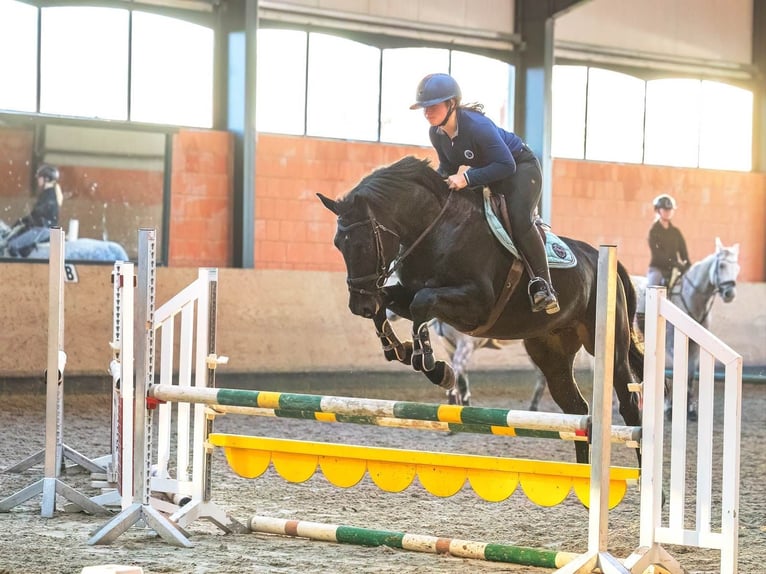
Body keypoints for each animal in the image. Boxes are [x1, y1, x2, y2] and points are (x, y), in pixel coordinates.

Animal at [320, 156, 648, 464]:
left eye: (362, 245)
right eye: (337, 244)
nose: (358, 306)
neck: (436, 229)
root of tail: (604, 259)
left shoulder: (477, 304)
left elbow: (422, 303)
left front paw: (433, 367)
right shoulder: (410, 295)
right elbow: (391, 304)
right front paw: (399, 349)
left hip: (608, 349)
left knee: (630, 408)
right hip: (551, 351)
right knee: (576, 409)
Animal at [636, 236, 744, 420]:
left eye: (737, 268)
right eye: (722, 265)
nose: (730, 294)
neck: (691, 298)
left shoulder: (694, 347)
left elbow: (690, 376)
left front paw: (691, 411)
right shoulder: (673, 347)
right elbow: (677, 374)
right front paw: (670, 408)